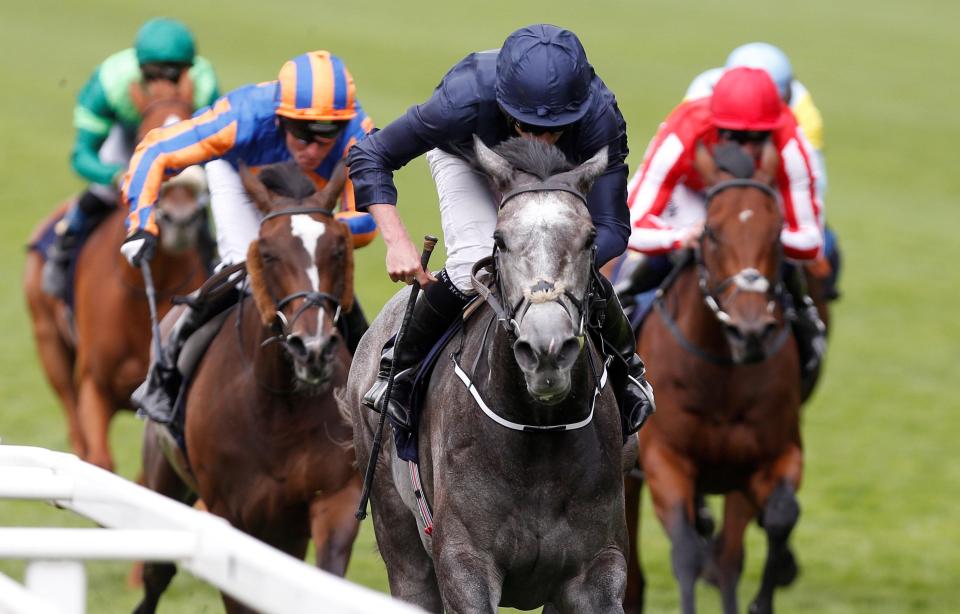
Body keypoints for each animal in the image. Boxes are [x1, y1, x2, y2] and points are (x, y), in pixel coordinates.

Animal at [23, 77, 208, 472]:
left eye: (197, 130)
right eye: (143, 134)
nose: (180, 217)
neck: (145, 292)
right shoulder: (94, 386)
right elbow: (99, 459)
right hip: (50, 346)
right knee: (74, 429)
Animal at [141, 162, 366, 614]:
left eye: (338, 248)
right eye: (267, 253)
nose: (312, 349)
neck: (278, 410)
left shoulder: (332, 497)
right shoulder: (231, 517)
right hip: (165, 479)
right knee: (157, 574)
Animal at [344, 138, 632, 614]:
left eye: (590, 238)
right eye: (499, 239)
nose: (546, 350)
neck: (540, 430)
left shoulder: (598, 569)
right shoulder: (464, 563)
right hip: (401, 541)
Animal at [628, 144, 808, 614]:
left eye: (777, 231)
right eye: (710, 231)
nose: (750, 331)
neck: (721, 376)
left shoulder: (773, 456)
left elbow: (779, 519)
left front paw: (761, 600)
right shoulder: (664, 459)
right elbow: (686, 552)